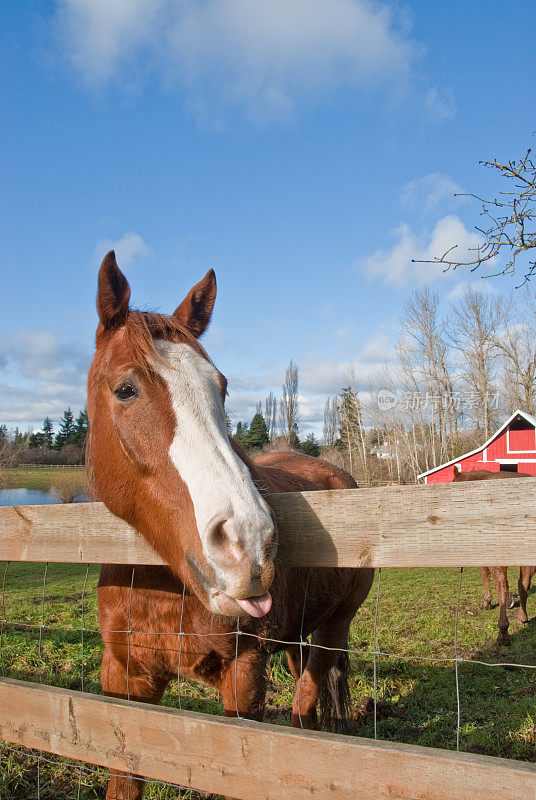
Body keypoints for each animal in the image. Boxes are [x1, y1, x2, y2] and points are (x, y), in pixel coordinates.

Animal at [87, 252, 372, 800]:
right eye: (126, 389)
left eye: (221, 388)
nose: (249, 543)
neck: (160, 587)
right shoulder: (123, 682)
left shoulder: (244, 682)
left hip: (335, 626)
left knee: (308, 702)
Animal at [452, 462, 536, 644]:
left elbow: (485, 576)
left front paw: (487, 602)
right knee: (524, 584)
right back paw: (523, 617)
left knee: (502, 586)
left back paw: (503, 631)